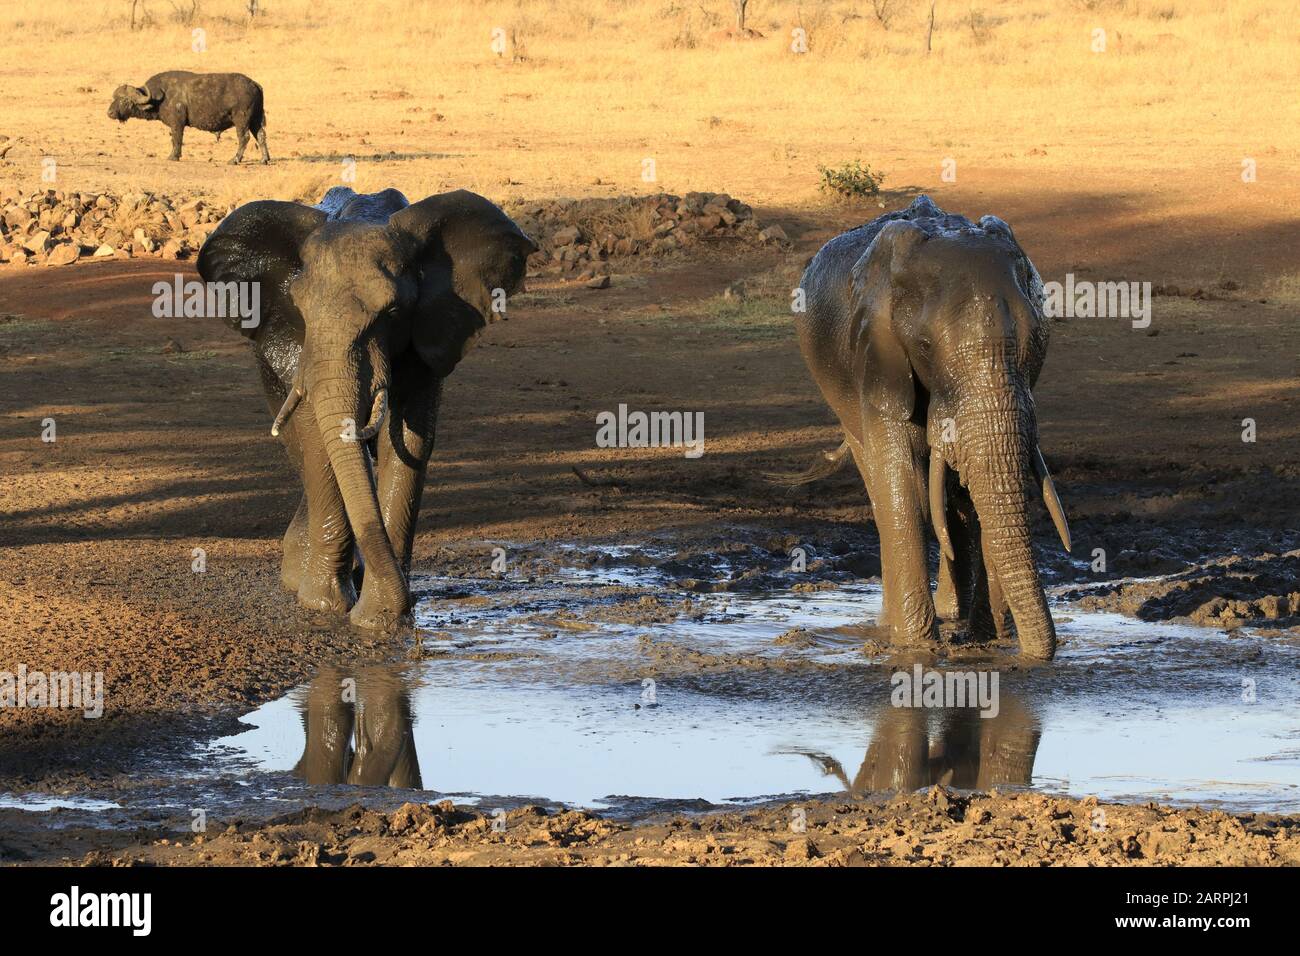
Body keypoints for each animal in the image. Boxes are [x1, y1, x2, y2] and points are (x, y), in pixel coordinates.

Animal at [193, 191, 538, 632]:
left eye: (392, 313)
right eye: (301, 308)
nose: (404, 604)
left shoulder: (430, 331)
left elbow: (410, 439)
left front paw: (378, 620)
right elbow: (318, 437)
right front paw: (324, 606)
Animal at [774, 195, 1071, 658]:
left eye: (1036, 339)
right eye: (925, 347)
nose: (1029, 655)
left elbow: (971, 490)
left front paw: (980, 640)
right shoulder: (877, 355)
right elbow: (901, 483)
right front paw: (915, 647)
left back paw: (959, 617)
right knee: (883, 480)